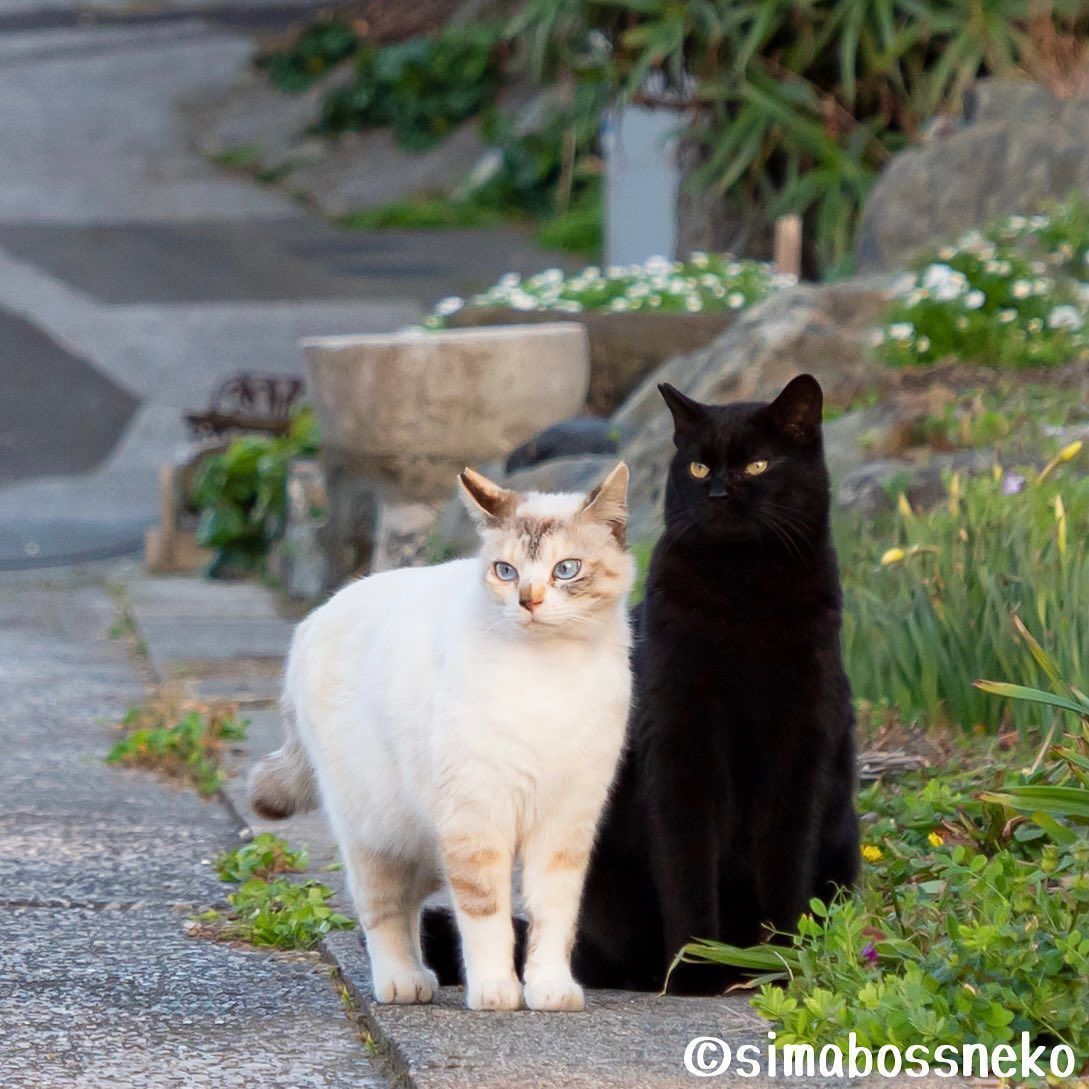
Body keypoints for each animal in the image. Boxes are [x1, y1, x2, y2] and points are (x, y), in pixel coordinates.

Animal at [249, 466, 635, 1010]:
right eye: (505, 571)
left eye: (566, 569)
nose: (529, 600)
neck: (550, 672)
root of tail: (314, 619)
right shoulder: (476, 821)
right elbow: (486, 915)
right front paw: (495, 990)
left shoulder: (564, 825)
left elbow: (553, 916)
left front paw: (549, 989)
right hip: (377, 831)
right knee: (385, 910)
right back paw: (402, 981)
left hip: (424, 842)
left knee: (414, 904)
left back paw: (423, 976)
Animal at [418, 376, 858, 997]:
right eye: (698, 467)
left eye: (758, 464)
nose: (717, 493)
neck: (744, 593)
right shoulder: (678, 745)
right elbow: (686, 865)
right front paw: (697, 969)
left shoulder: (800, 751)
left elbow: (784, 863)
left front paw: (776, 963)